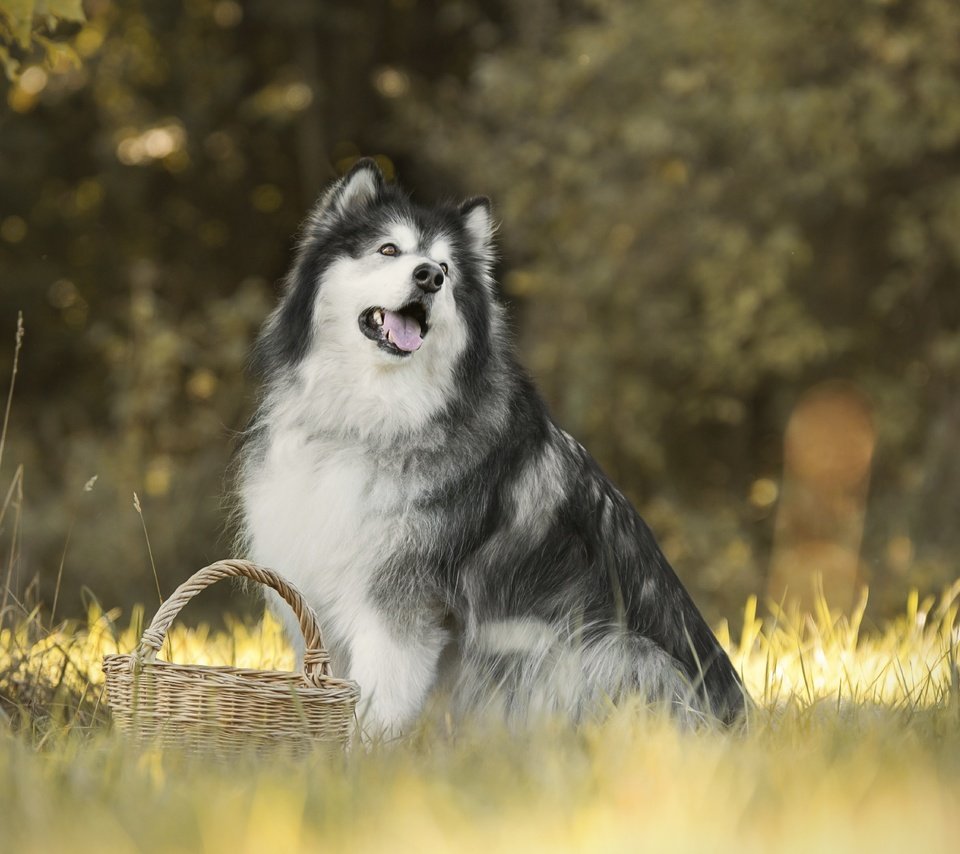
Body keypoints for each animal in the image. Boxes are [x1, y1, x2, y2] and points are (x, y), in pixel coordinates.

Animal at [236, 160, 748, 736]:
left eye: (444, 267)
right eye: (389, 249)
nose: (429, 277)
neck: (378, 415)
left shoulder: (399, 608)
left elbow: (376, 704)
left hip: (605, 650)